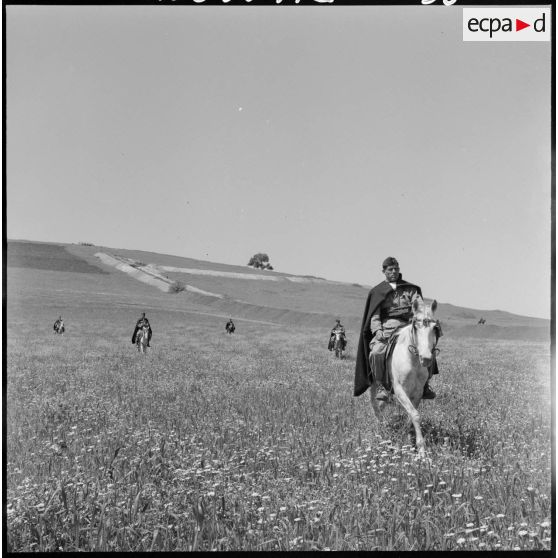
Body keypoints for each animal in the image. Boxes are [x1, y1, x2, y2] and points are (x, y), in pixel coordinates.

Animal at [370, 302, 444, 460]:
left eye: (435, 328)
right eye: (416, 326)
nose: (426, 358)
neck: (413, 361)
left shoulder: (418, 393)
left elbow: (411, 416)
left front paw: (408, 441)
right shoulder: (400, 391)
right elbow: (415, 415)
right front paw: (422, 451)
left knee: (382, 404)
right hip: (373, 382)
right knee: (375, 405)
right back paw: (380, 428)